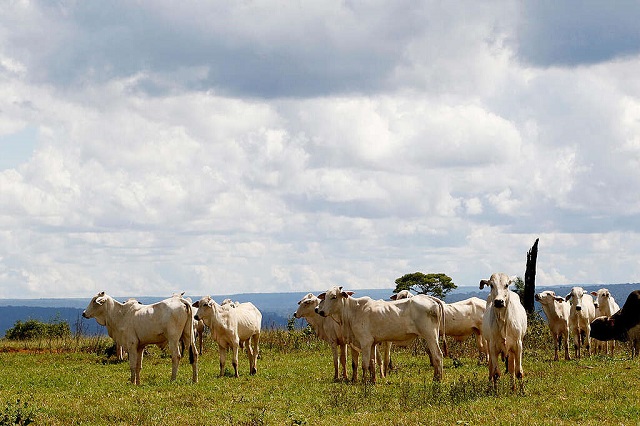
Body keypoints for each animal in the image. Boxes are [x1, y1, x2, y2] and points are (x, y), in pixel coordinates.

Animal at [312, 286, 442, 382]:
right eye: (325, 296)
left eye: (334, 297)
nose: (321, 311)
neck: (352, 312)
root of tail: (431, 299)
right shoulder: (372, 343)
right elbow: (372, 362)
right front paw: (373, 380)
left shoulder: (365, 342)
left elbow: (365, 364)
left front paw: (364, 381)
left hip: (430, 335)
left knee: (438, 355)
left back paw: (437, 379)